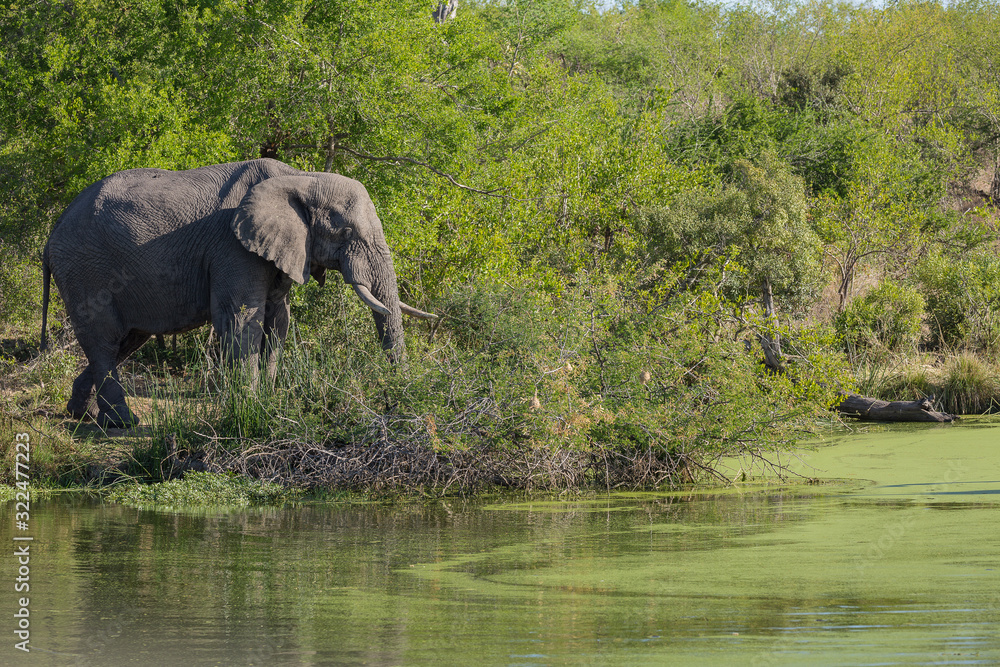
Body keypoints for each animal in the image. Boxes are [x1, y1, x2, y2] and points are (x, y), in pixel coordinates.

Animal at [40, 158, 435, 428]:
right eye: (346, 231)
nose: (395, 401)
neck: (300, 177)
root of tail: (51, 234)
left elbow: (278, 318)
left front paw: (271, 402)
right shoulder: (233, 247)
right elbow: (243, 316)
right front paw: (249, 406)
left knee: (126, 340)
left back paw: (79, 413)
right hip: (85, 271)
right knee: (104, 340)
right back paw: (122, 423)